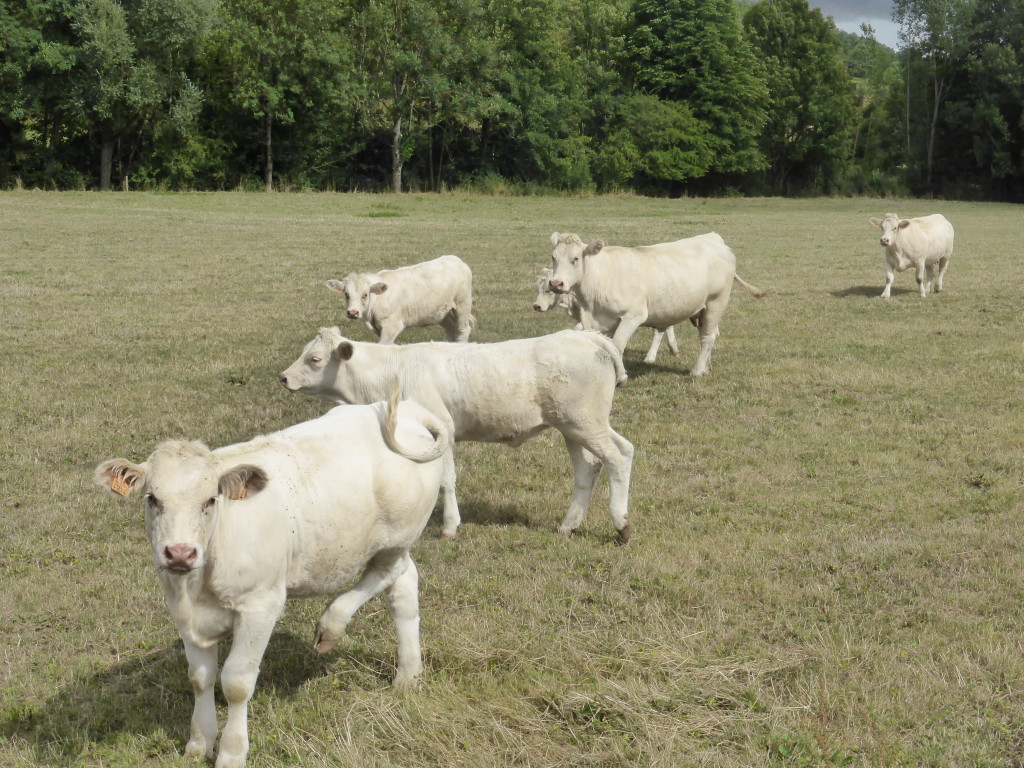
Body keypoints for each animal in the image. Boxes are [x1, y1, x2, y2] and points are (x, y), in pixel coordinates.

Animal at [95, 391, 444, 768]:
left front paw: (232, 752)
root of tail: (406, 411)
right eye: (152, 499)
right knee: (404, 586)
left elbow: (236, 682)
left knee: (388, 572)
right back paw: (408, 674)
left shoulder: (260, 606)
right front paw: (199, 741)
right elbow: (200, 677)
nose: (179, 553)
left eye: (211, 500)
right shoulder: (181, 610)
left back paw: (332, 625)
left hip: (399, 536)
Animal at [276, 327, 634, 544]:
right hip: (575, 428)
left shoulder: (442, 431)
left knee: (617, 457)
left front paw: (449, 526)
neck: (392, 373)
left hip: (585, 424)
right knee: (592, 467)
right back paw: (568, 525)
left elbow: (446, 480)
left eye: (315, 359)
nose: (283, 377)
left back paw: (621, 525)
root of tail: (586, 336)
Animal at [325, 253, 473, 344]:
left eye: (365, 294)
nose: (353, 312)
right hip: (441, 312)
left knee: (462, 330)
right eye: (346, 294)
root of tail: (455, 259)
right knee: (452, 331)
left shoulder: (392, 326)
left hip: (462, 305)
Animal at [552, 234, 761, 378]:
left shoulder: (633, 316)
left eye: (575, 258)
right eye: (553, 257)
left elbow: (617, 346)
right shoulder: (601, 321)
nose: (555, 283)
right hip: (703, 310)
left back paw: (696, 370)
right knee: (712, 333)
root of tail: (714, 238)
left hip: (716, 301)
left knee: (707, 337)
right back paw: (706, 368)